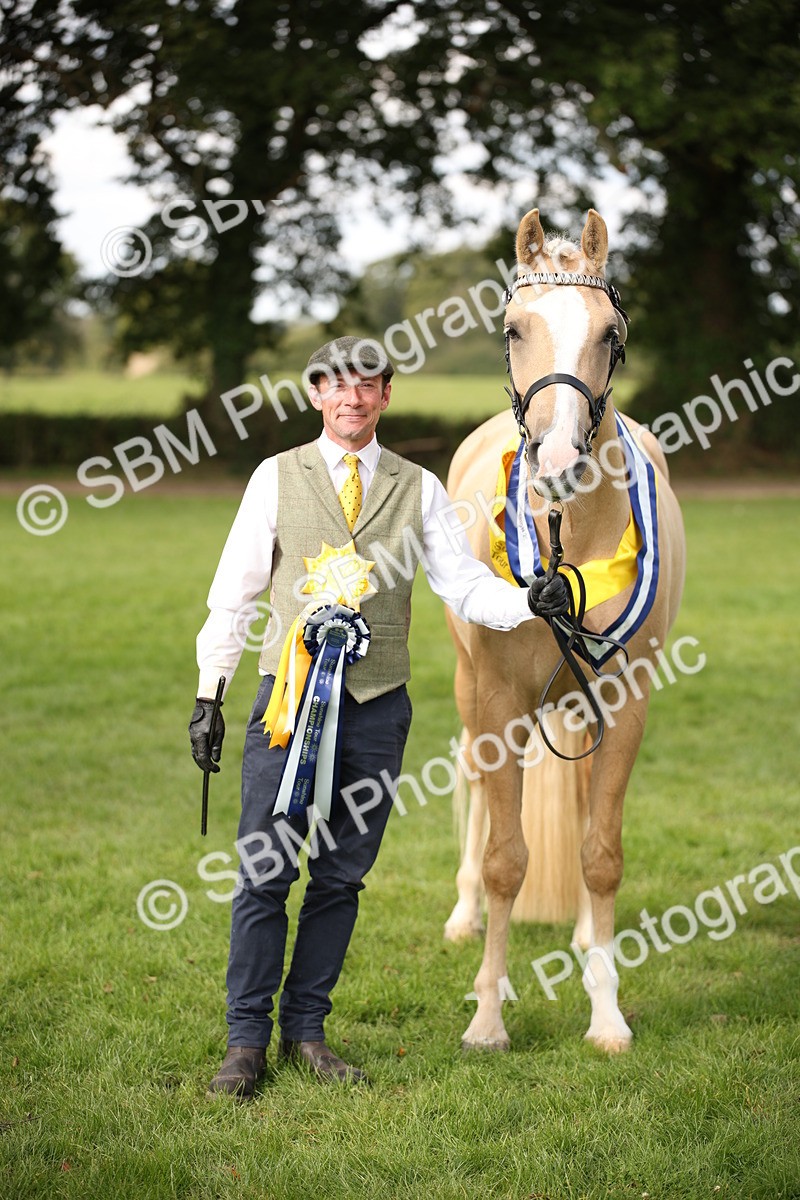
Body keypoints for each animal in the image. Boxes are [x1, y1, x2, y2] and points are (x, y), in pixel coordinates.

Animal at [442, 207, 686, 1053]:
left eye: (611, 334)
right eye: (513, 328)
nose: (554, 460)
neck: (566, 537)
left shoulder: (626, 704)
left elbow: (600, 851)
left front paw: (607, 1014)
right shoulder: (495, 706)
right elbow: (506, 858)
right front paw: (486, 1016)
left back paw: (583, 939)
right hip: (471, 697)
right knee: (474, 793)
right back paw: (462, 914)